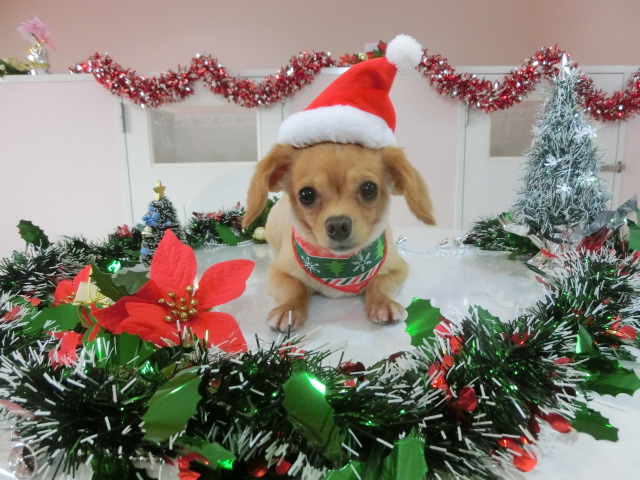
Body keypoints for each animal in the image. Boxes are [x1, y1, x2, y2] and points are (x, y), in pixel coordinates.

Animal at [241, 141, 435, 331]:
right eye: (306, 195)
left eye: (369, 189)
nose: (338, 225)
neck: (338, 262)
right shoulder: (277, 272)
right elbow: (295, 287)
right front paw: (289, 309)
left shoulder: (399, 268)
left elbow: (378, 283)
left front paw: (382, 303)